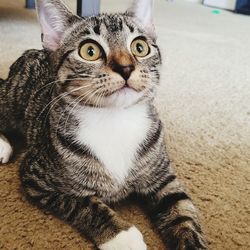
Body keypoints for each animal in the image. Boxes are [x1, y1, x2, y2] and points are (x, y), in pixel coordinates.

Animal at [0, 0, 207, 249]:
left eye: (140, 47)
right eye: (90, 51)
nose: (126, 67)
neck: (114, 120)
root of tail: (32, 52)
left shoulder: (162, 176)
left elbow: (181, 209)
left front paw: (190, 239)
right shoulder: (37, 176)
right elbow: (81, 203)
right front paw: (122, 235)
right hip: (14, 98)